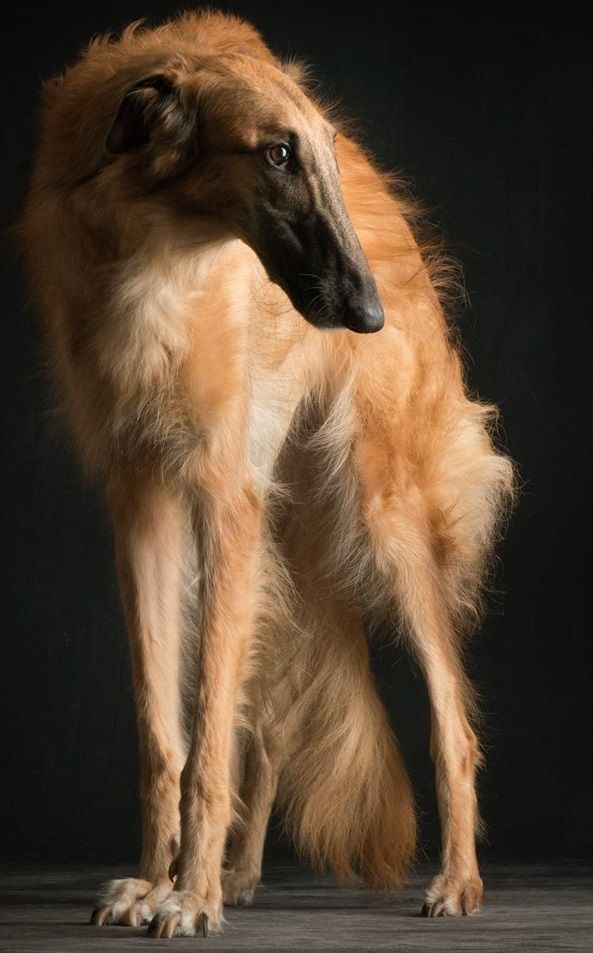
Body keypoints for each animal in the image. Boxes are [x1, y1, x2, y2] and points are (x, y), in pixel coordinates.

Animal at [22, 9, 512, 936]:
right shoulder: (145, 502)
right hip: (282, 534)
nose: (367, 315)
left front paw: (189, 895)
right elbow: (166, 733)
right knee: (277, 718)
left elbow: (207, 731)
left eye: (318, 150)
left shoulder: (221, 495)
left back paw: (457, 881)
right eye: (277, 153)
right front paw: (158, 882)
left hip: (378, 514)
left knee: (452, 725)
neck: (154, 258)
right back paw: (242, 870)